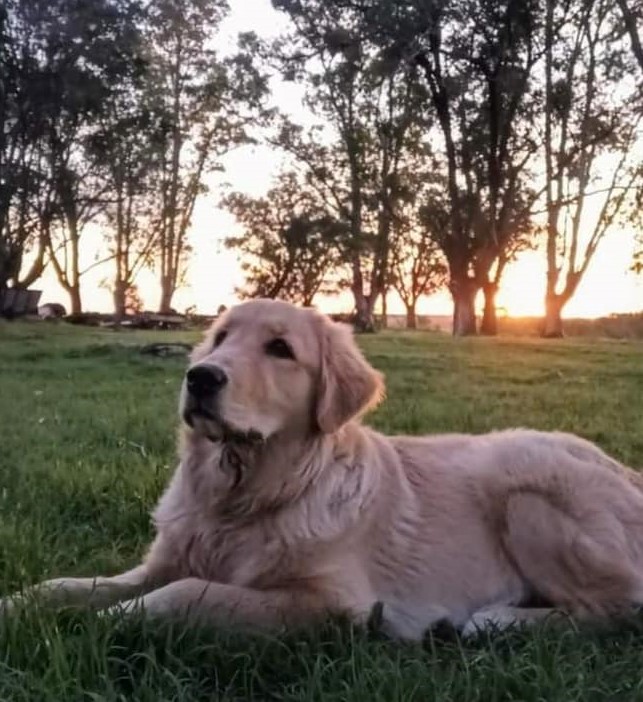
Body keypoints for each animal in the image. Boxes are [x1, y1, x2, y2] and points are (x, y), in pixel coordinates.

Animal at [4, 298, 643, 639]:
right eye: (221, 336)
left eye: (280, 349)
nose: (200, 377)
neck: (240, 498)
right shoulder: (162, 560)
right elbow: (70, 585)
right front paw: (20, 605)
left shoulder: (332, 603)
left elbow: (185, 594)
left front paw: (108, 622)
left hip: (527, 487)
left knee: (617, 608)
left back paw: (501, 621)